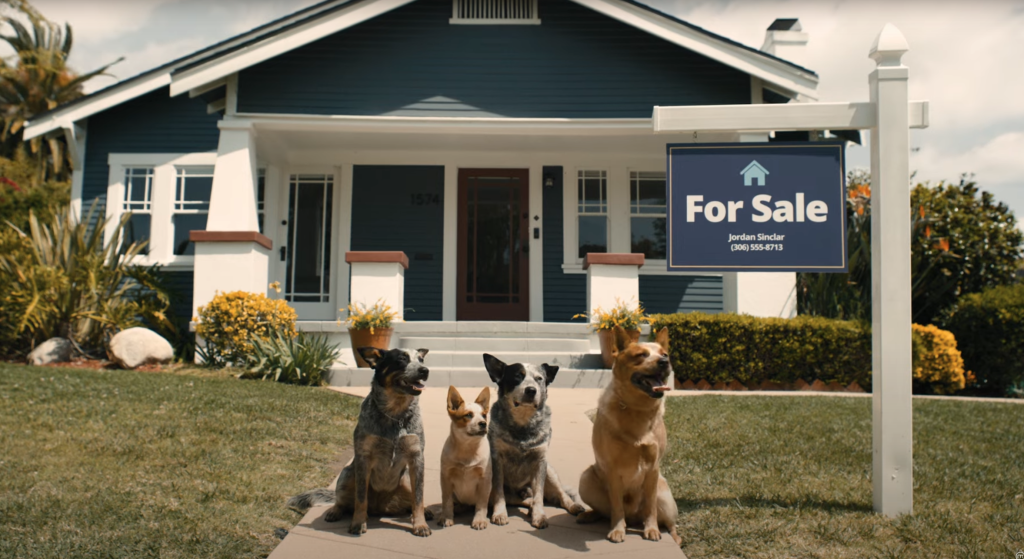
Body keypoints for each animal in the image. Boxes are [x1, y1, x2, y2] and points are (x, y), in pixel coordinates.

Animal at [286, 348, 434, 536]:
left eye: (421, 359)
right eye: (402, 359)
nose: (425, 370)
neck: (395, 414)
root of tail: (380, 508)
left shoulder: (417, 458)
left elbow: (418, 498)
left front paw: (420, 524)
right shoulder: (364, 457)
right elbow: (361, 497)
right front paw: (358, 523)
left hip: (406, 478)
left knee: (411, 502)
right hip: (348, 473)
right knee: (342, 501)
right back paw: (334, 511)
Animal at [436, 384, 491, 528]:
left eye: (484, 415)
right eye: (468, 415)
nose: (483, 423)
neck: (468, 449)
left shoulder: (484, 479)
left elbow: (481, 503)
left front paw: (479, 520)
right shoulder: (446, 477)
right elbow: (447, 501)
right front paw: (446, 517)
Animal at [483, 352, 589, 528]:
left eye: (539, 378)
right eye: (517, 376)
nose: (531, 390)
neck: (523, 424)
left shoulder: (540, 460)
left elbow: (539, 494)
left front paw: (539, 515)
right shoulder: (496, 459)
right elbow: (498, 491)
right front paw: (499, 513)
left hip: (550, 472)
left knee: (560, 495)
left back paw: (573, 506)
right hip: (513, 493)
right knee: (524, 500)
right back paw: (529, 506)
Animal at [577, 323, 679, 540]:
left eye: (664, 353)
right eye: (641, 355)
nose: (664, 362)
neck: (636, 409)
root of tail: (633, 518)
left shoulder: (653, 468)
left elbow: (651, 507)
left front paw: (652, 529)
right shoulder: (612, 469)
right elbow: (617, 506)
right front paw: (617, 529)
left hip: (665, 496)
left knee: (670, 523)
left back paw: (674, 536)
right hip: (586, 478)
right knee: (605, 511)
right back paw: (590, 515)